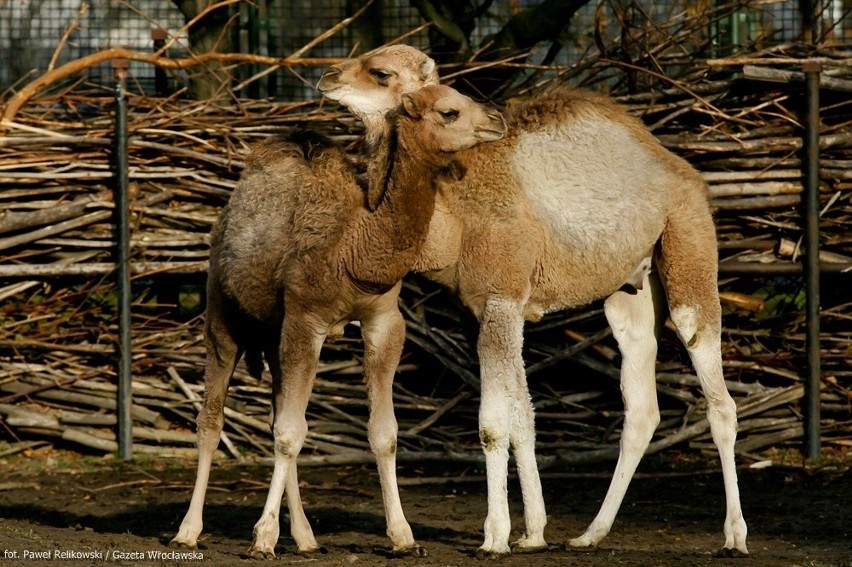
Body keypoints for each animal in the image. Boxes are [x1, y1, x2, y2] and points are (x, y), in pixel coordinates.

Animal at [171, 84, 506, 560]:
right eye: (449, 111)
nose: (497, 120)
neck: (354, 246)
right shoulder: (306, 319)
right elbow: (290, 434)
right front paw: (263, 539)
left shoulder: (383, 320)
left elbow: (381, 432)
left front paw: (403, 537)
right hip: (222, 312)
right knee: (212, 420)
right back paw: (188, 530)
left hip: (273, 334)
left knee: (276, 416)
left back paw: (306, 537)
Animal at [316, 44, 748, 560]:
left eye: (380, 73)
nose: (328, 76)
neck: (451, 217)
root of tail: (686, 173)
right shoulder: (483, 309)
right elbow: (522, 415)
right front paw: (533, 532)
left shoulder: (503, 296)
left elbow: (492, 424)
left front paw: (494, 537)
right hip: (631, 292)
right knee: (642, 404)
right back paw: (590, 533)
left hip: (688, 242)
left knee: (717, 394)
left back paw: (734, 537)